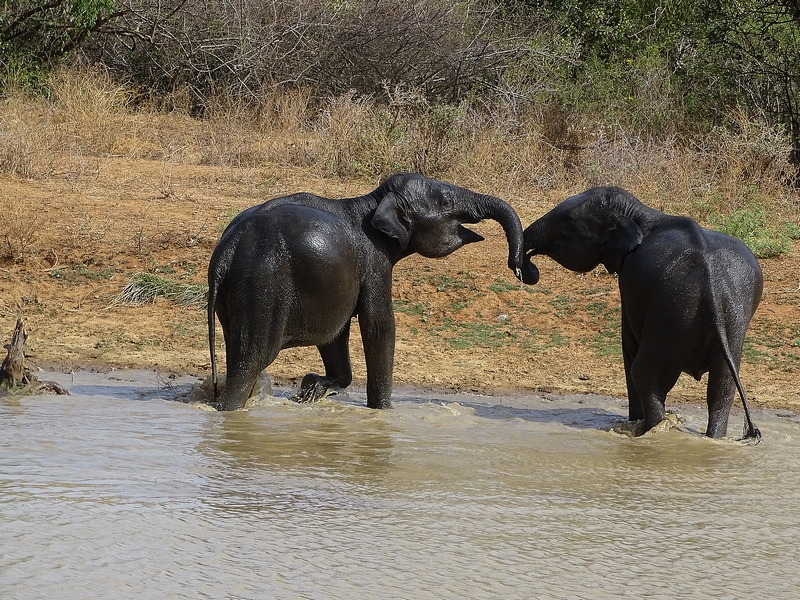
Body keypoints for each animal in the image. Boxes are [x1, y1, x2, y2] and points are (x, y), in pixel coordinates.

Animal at [208, 173, 540, 411]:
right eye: (446, 201)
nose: (523, 268)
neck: (373, 202)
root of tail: (229, 247)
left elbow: (336, 333)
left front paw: (312, 389)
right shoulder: (374, 261)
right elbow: (379, 326)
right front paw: (383, 412)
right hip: (263, 286)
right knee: (250, 362)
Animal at [523, 186, 761, 440]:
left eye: (568, 223)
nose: (527, 263)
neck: (639, 213)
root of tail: (711, 289)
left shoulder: (629, 279)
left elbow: (628, 345)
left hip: (672, 316)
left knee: (645, 375)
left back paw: (649, 430)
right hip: (729, 319)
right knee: (721, 389)